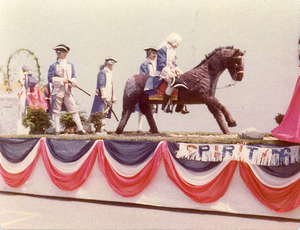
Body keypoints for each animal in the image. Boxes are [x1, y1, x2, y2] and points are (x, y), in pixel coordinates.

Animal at [116, 45, 245, 134]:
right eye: (236, 61)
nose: (240, 77)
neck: (205, 73)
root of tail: (131, 78)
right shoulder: (205, 96)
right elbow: (222, 106)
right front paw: (232, 122)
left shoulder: (209, 100)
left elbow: (218, 114)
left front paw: (227, 131)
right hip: (130, 101)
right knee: (126, 113)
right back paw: (119, 131)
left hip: (144, 101)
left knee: (147, 112)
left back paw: (155, 130)